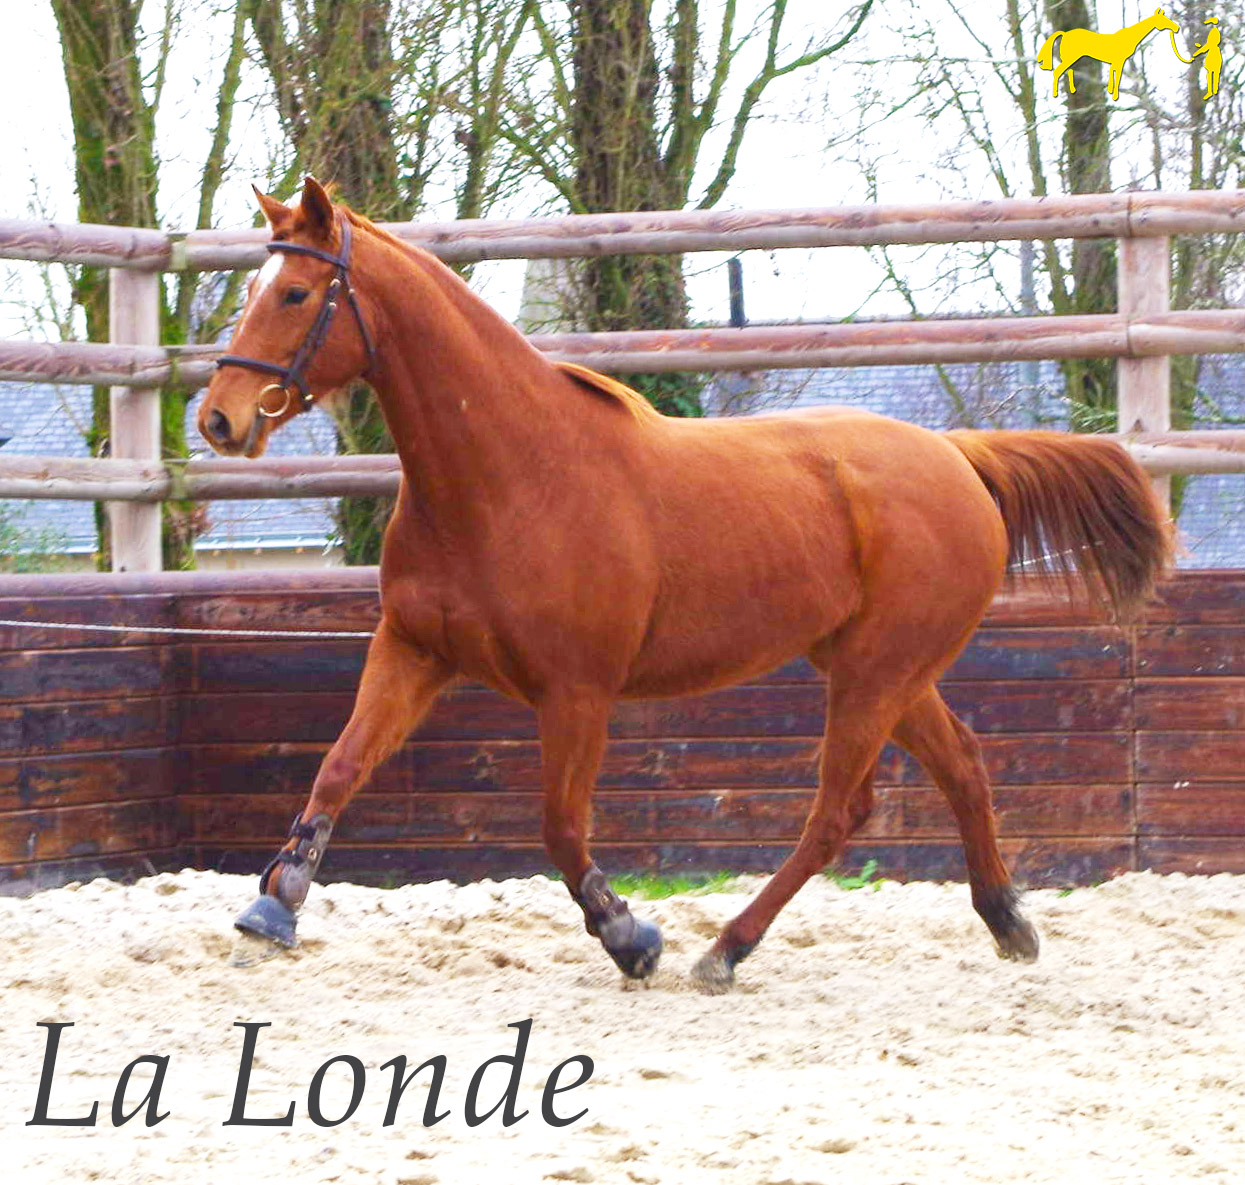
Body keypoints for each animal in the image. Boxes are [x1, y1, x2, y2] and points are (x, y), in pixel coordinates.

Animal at [199, 175, 1170, 990]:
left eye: (294, 294)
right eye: (251, 289)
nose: (218, 419)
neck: (506, 473)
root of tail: (959, 456)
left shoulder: (576, 691)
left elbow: (560, 826)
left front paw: (630, 935)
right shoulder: (414, 649)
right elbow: (338, 769)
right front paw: (272, 905)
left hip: (876, 673)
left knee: (838, 810)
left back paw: (725, 948)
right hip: (883, 669)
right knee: (962, 766)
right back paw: (1006, 920)